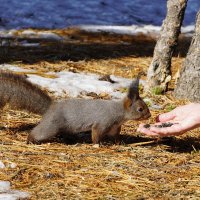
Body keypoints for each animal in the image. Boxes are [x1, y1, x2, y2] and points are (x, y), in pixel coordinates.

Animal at [0, 70, 150, 144]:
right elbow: (96, 134)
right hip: (51, 126)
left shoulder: (114, 127)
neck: (119, 112)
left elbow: (115, 136)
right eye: (140, 109)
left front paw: (119, 142)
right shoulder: (102, 123)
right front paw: (97, 144)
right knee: (38, 132)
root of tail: (51, 107)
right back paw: (30, 140)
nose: (149, 115)